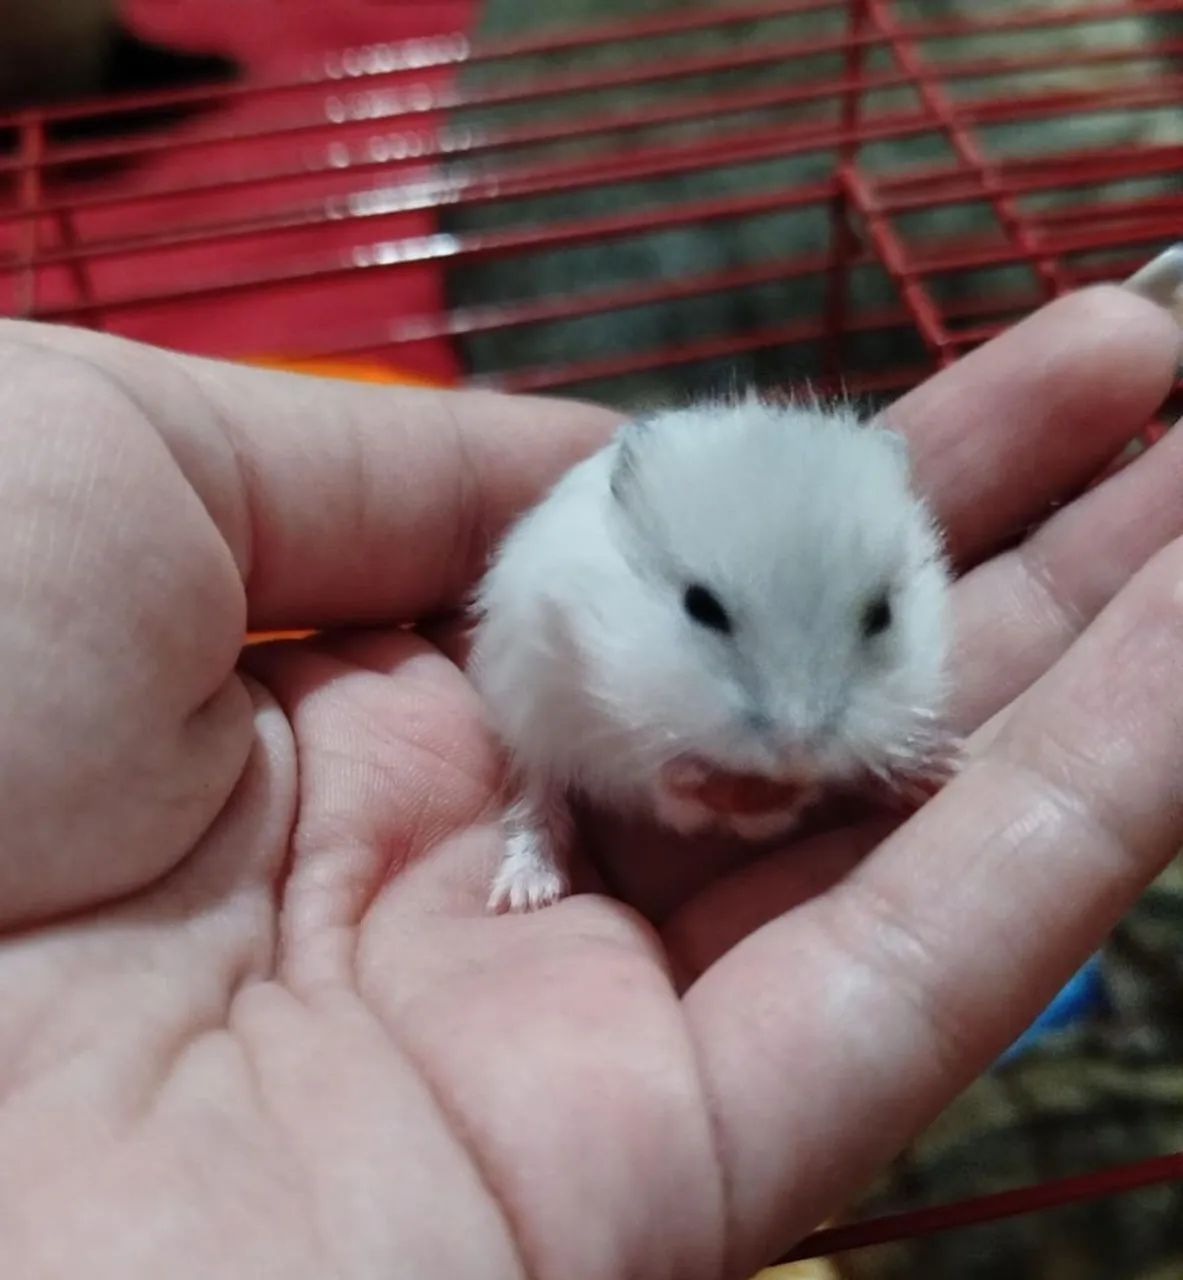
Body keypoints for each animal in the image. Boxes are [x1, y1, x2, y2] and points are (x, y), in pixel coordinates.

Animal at [469, 393, 953, 912]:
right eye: (701, 606)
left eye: (881, 614)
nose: (796, 750)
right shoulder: (602, 731)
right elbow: (664, 787)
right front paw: (690, 778)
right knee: (538, 794)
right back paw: (525, 893)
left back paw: (938, 770)